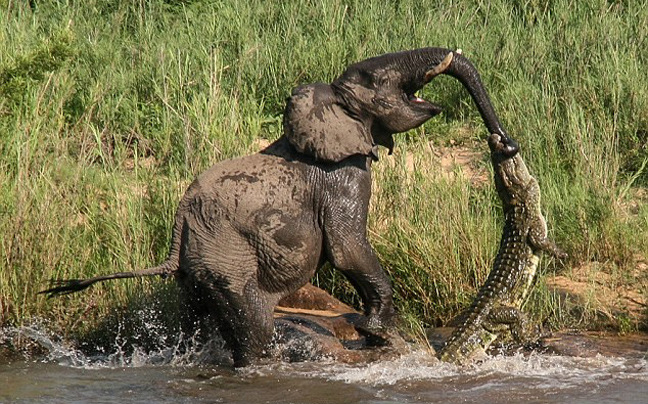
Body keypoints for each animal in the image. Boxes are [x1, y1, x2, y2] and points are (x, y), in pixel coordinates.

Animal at [41, 46, 516, 366]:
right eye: (372, 79)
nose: (505, 143)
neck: (328, 105)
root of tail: (179, 226)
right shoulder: (343, 176)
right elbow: (347, 248)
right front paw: (377, 333)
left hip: (197, 269)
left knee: (197, 319)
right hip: (226, 257)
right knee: (254, 325)